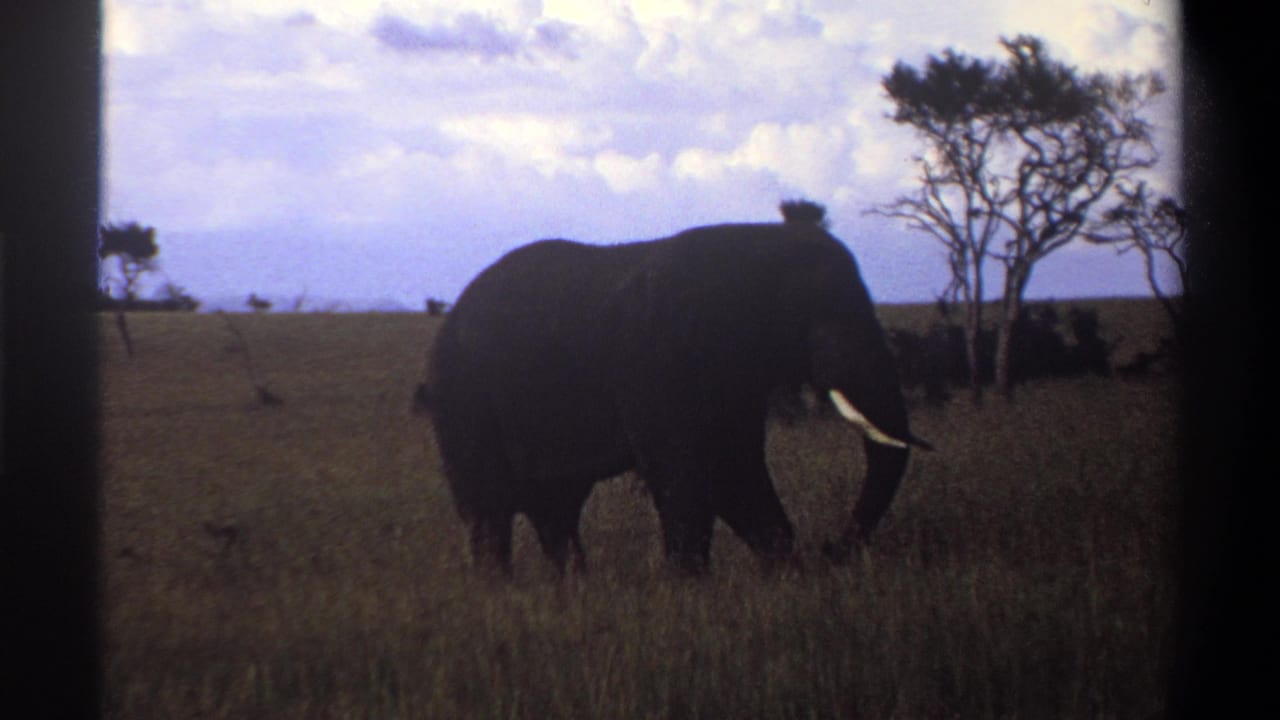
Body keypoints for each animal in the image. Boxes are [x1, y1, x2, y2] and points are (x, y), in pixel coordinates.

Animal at [419, 203, 930, 574]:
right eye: (817, 318)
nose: (831, 548)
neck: (757, 245)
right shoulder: (659, 361)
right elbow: (688, 472)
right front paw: (690, 589)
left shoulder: (732, 379)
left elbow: (734, 469)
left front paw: (785, 573)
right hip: (464, 398)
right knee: (490, 509)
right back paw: (502, 591)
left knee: (555, 507)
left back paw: (572, 587)